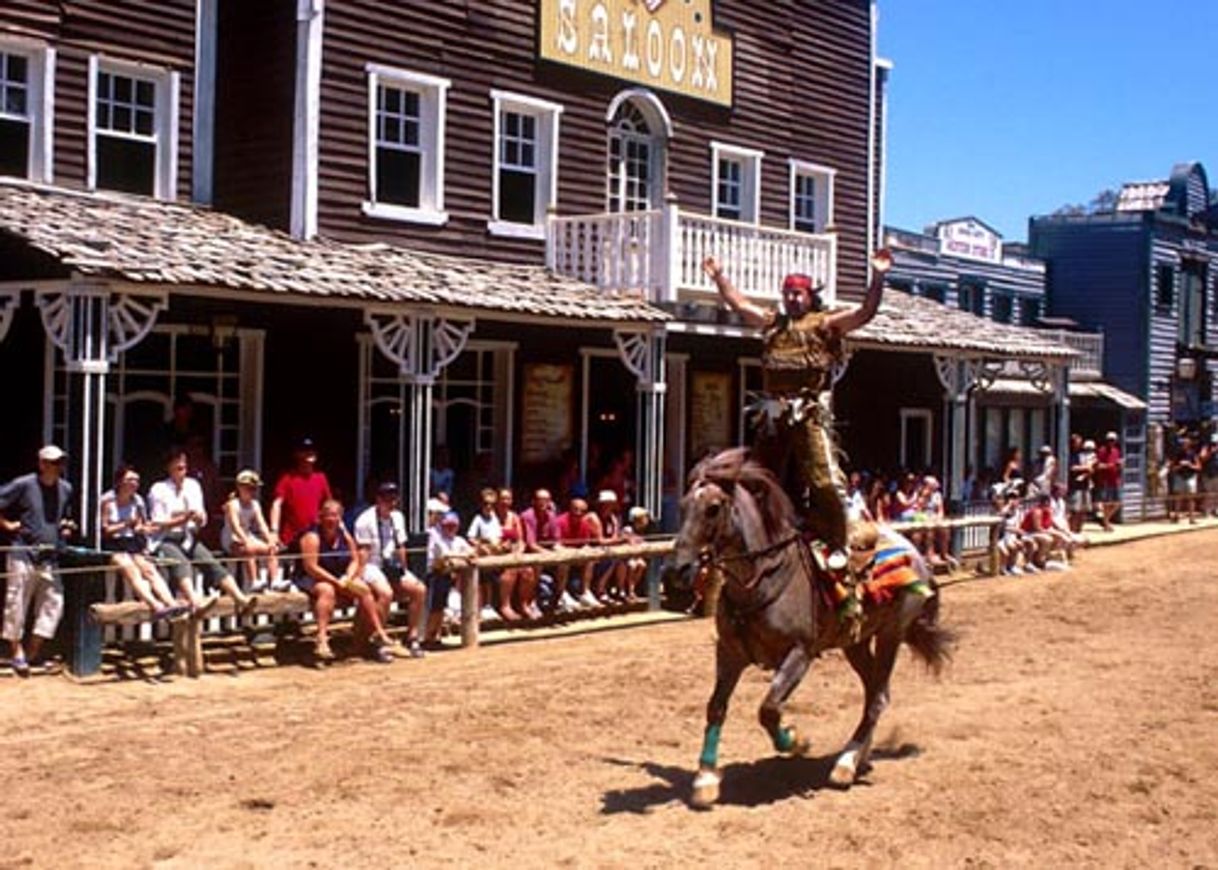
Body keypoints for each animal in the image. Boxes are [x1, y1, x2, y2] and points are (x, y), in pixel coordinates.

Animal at [672, 448, 954, 804]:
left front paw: (795, 742)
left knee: (877, 698)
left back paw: (844, 766)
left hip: (891, 635)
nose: (677, 570)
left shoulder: (799, 654)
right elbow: (716, 707)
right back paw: (856, 756)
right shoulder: (729, 653)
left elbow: (769, 708)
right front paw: (705, 778)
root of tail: (916, 554)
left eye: (712, 508)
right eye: (682, 506)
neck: (763, 581)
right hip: (856, 643)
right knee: (875, 692)